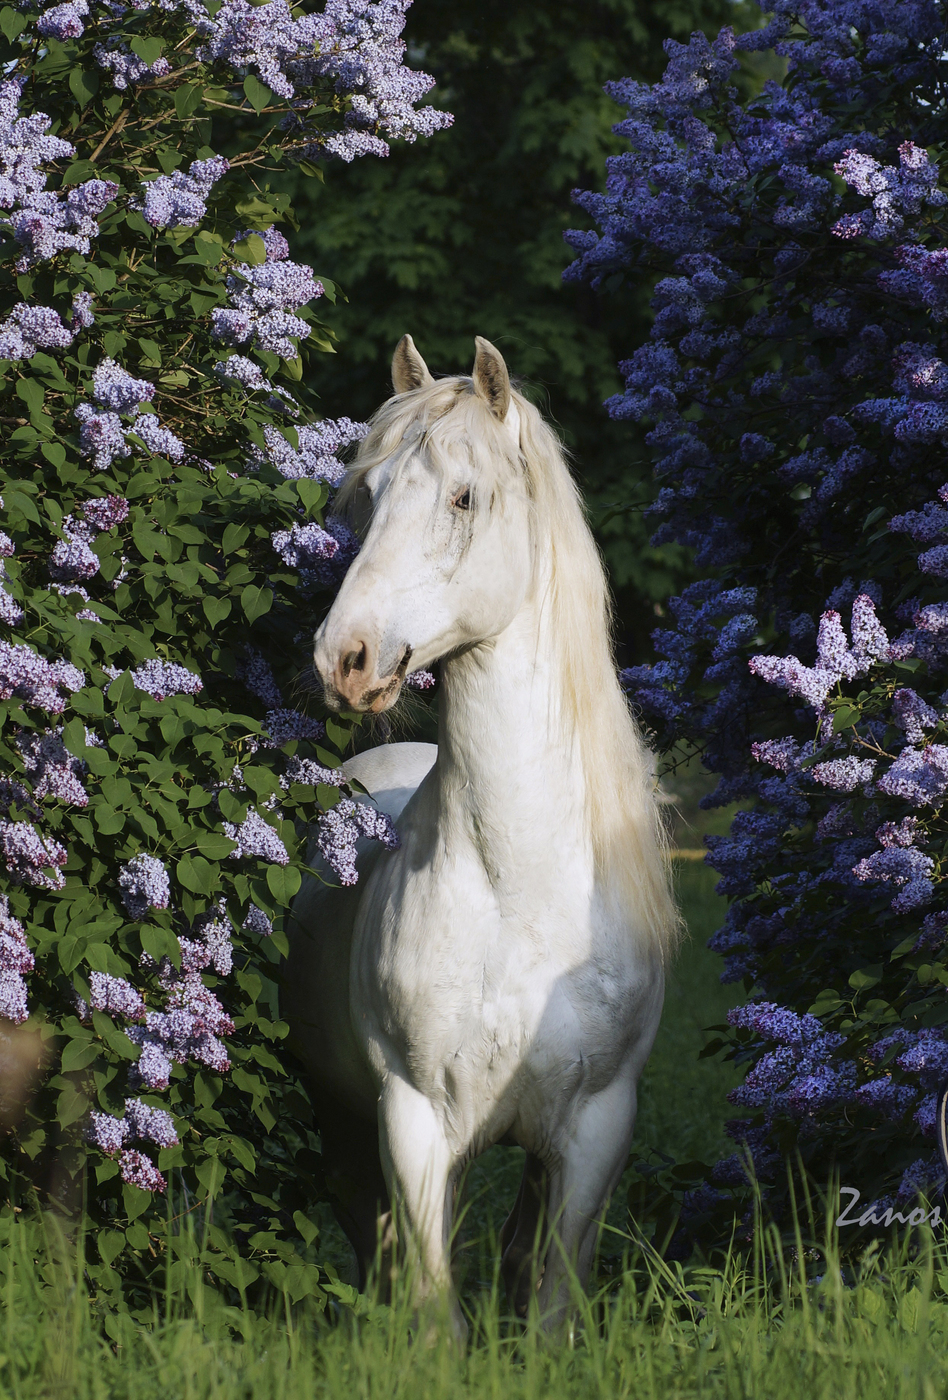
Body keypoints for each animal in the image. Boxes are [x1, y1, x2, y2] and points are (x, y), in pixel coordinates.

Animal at [284, 336, 677, 1332]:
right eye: (365, 497)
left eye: (464, 497)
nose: (344, 660)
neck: (520, 891)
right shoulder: (413, 1120)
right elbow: (433, 1309)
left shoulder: (595, 1130)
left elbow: (548, 1304)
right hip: (343, 1125)